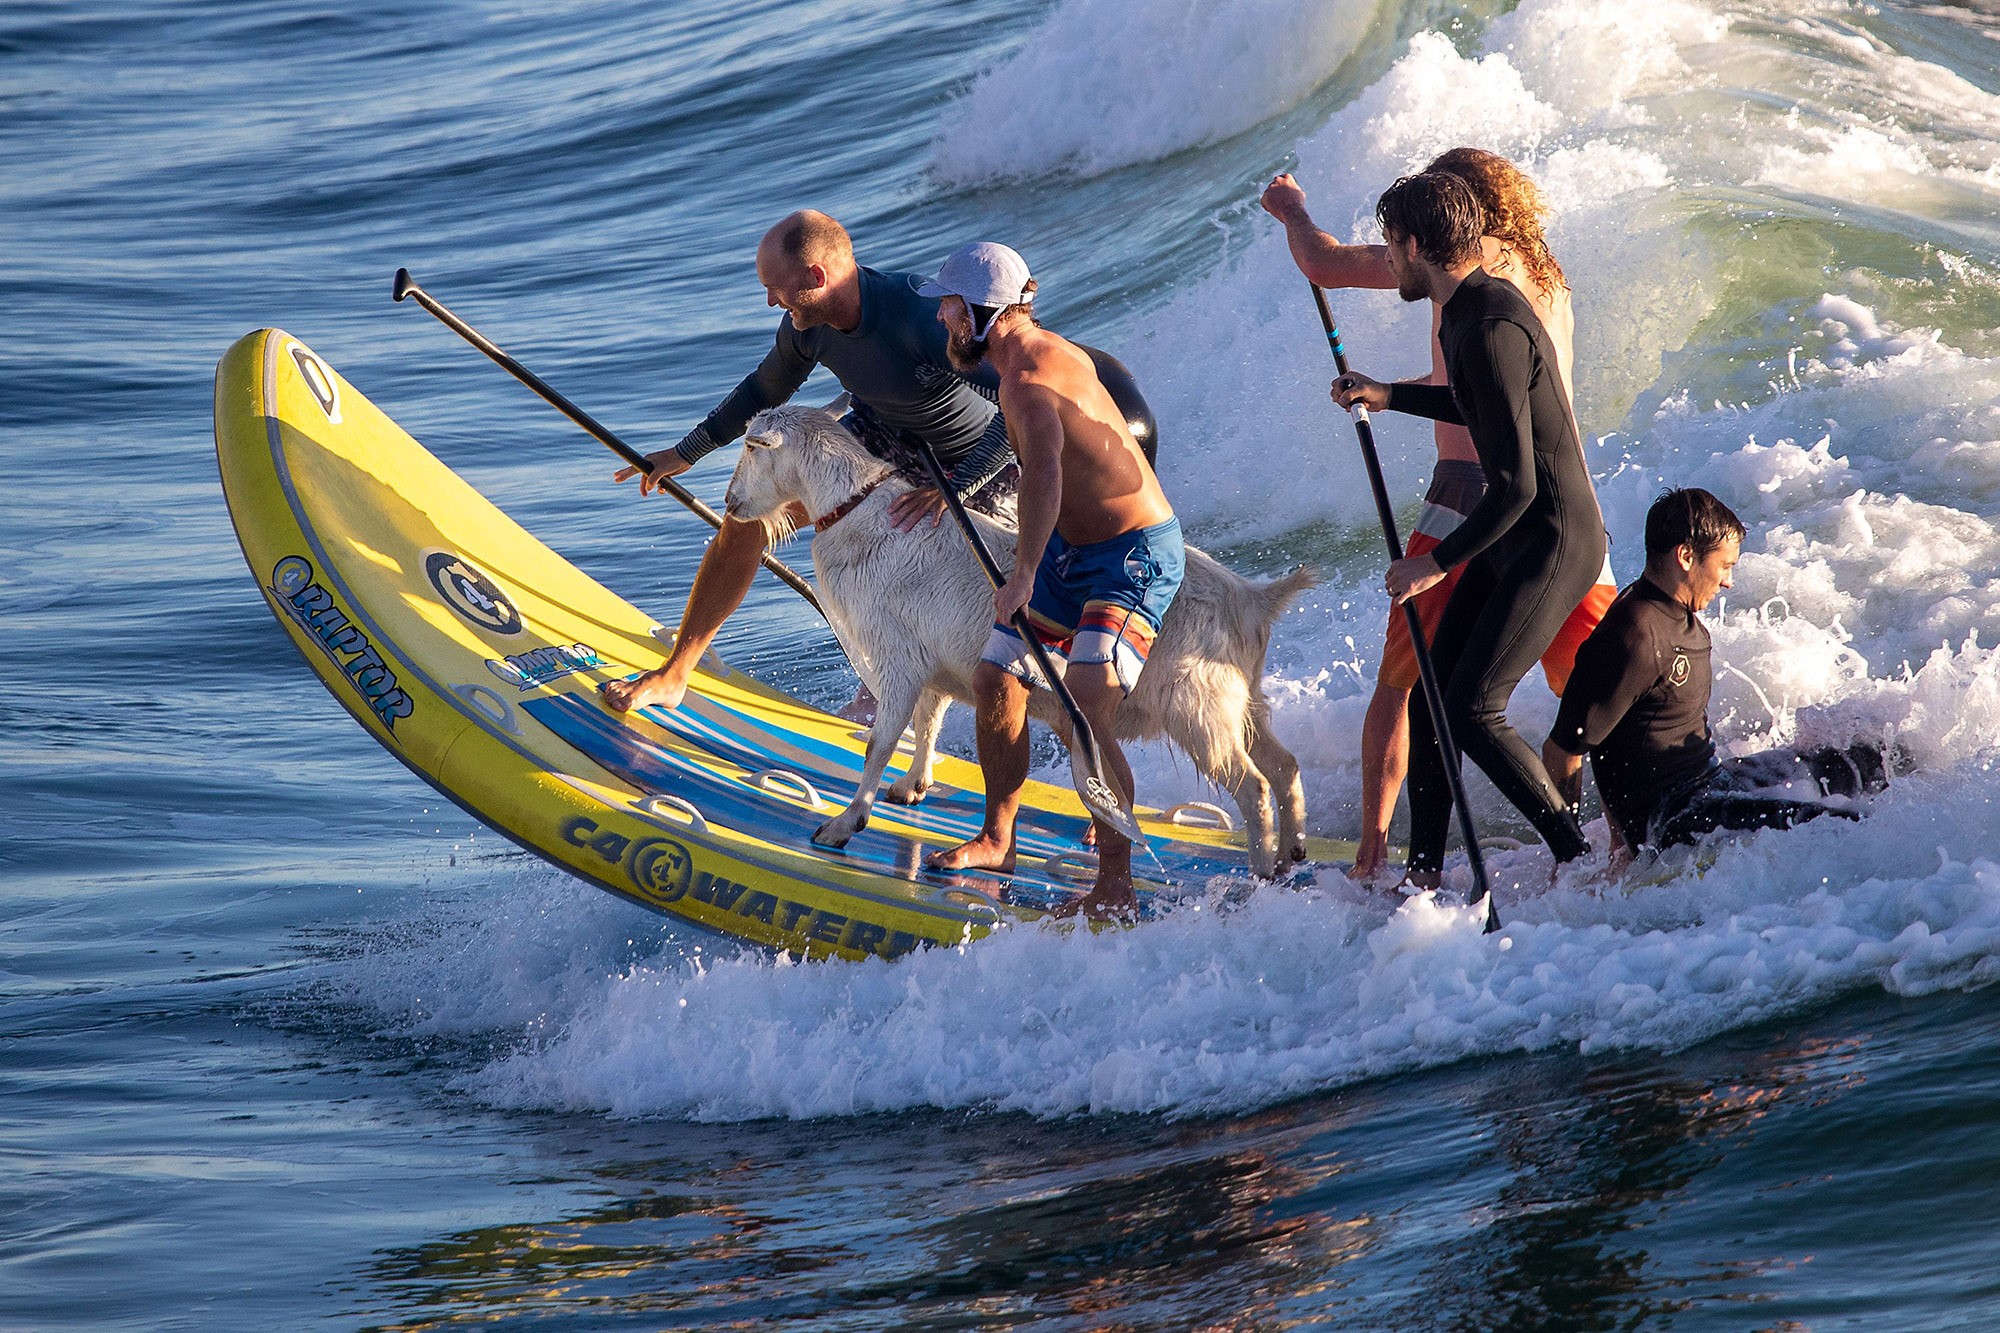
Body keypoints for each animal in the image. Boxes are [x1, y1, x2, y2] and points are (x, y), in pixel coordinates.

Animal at [728, 404, 1320, 880]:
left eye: (753, 448)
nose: (731, 503)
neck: (860, 513)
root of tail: (1253, 599)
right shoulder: (930, 663)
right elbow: (928, 721)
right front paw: (913, 786)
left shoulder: (896, 658)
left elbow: (880, 743)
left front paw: (843, 824)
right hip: (1241, 697)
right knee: (1284, 765)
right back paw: (1291, 853)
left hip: (1196, 704)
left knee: (1251, 785)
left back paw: (1259, 869)